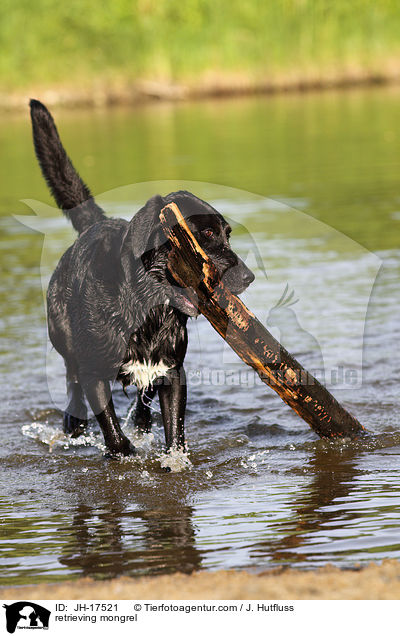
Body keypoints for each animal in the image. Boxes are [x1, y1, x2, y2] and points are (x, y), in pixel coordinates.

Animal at [30, 99, 253, 458]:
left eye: (227, 234)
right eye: (205, 234)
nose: (248, 277)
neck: (146, 309)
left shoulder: (172, 372)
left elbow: (174, 430)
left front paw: (173, 459)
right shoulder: (94, 373)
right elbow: (112, 429)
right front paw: (123, 453)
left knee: (142, 398)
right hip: (62, 335)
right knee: (71, 379)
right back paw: (73, 422)